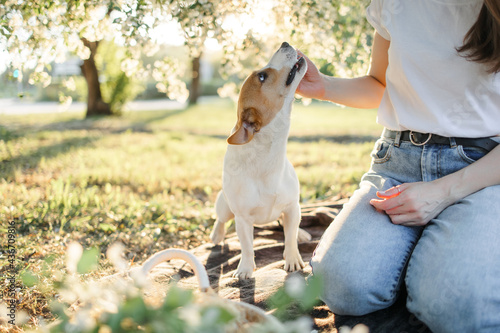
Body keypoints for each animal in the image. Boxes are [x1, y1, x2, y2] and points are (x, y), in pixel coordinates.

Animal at [209, 42, 310, 278]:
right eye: (262, 76)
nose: (284, 43)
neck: (268, 158)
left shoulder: (292, 207)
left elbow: (289, 238)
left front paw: (293, 258)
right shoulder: (243, 219)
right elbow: (247, 246)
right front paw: (245, 268)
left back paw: (300, 233)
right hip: (224, 206)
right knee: (220, 220)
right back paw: (217, 235)